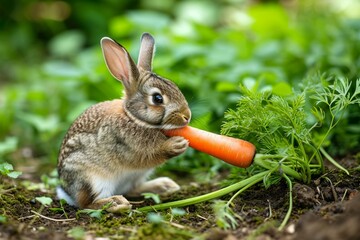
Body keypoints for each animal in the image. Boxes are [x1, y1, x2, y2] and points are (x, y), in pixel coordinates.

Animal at [55, 32, 191, 213]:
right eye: (157, 98)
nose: (187, 116)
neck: (133, 117)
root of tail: (67, 192)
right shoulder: (128, 147)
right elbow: (151, 154)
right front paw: (176, 145)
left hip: (135, 176)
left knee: (133, 189)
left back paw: (164, 185)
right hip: (91, 178)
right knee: (87, 204)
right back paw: (116, 203)